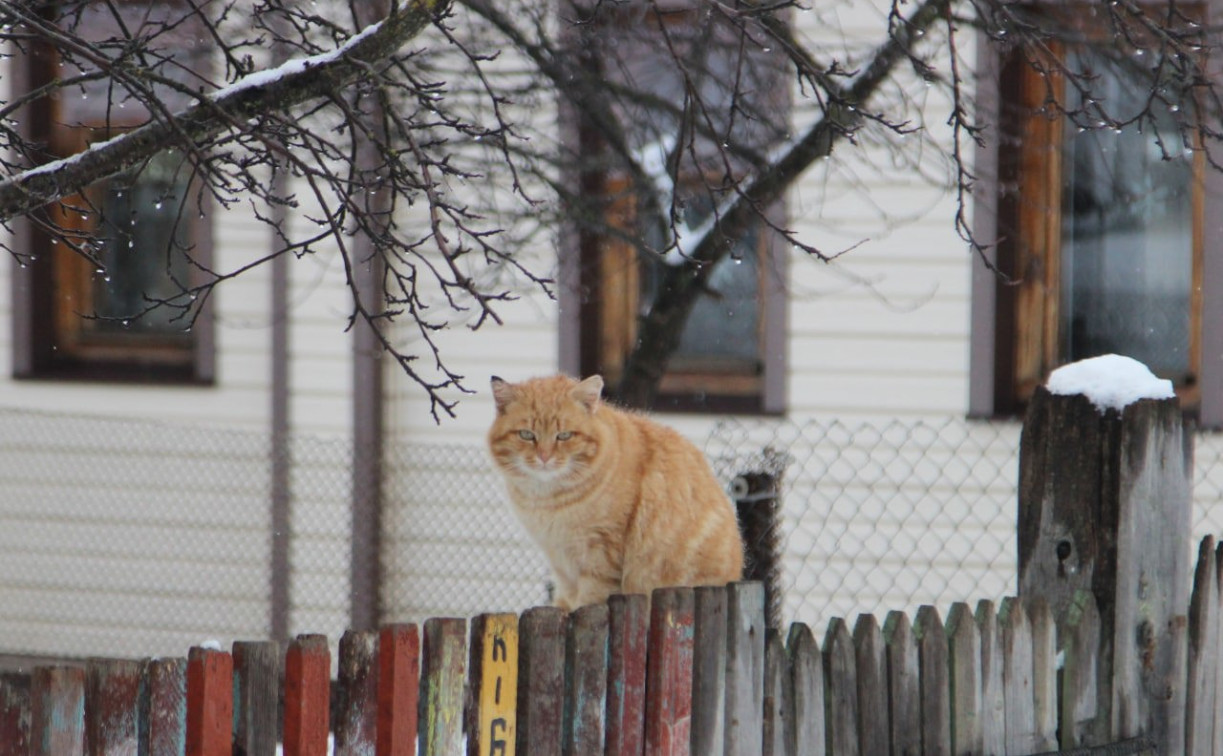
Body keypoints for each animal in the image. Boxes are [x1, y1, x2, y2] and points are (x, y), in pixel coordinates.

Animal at [489, 374, 743, 609]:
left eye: (564, 435)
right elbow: (564, 602)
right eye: (526, 435)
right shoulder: (561, 565)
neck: (549, 499)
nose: (544, 457)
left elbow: (588, 602)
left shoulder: (601, 554)